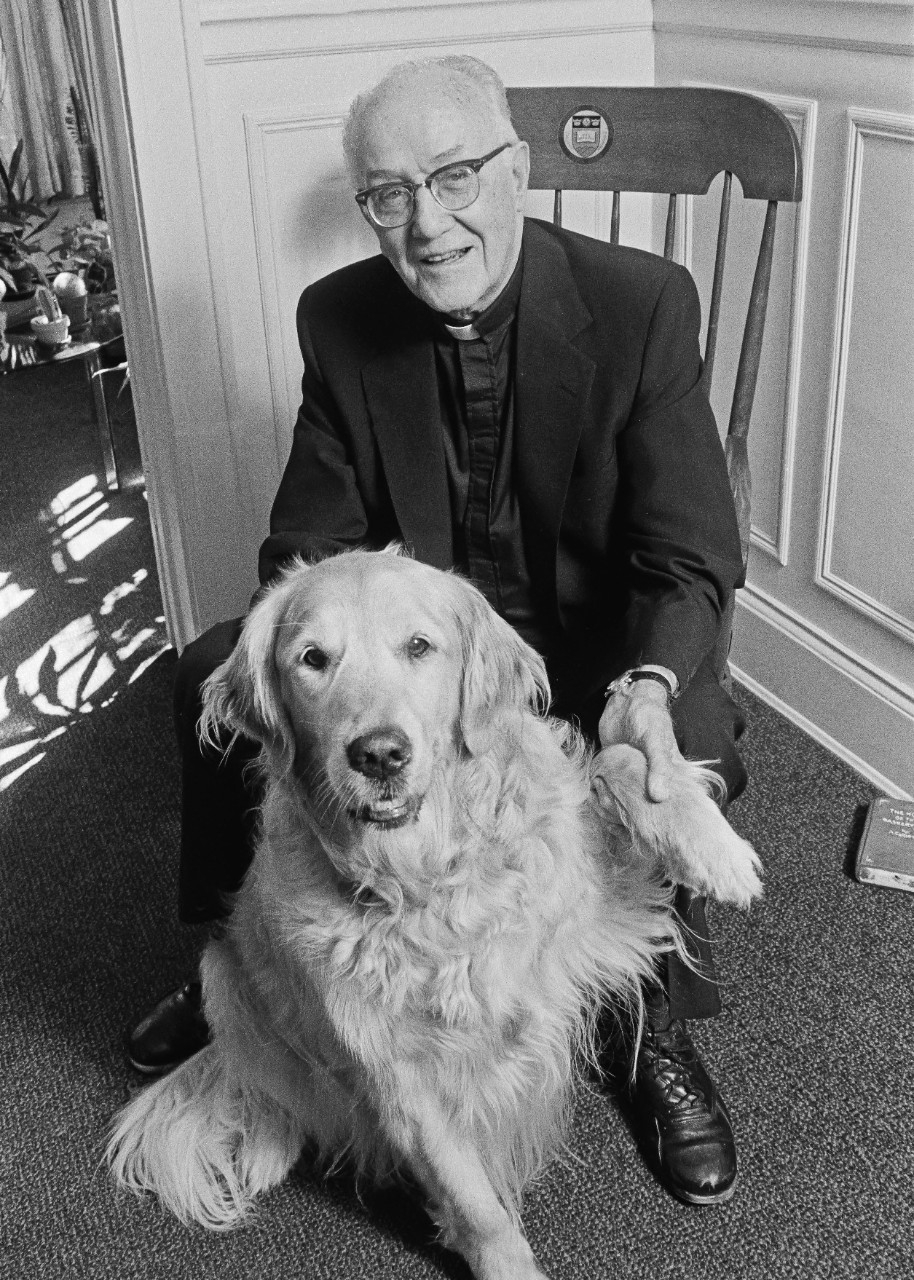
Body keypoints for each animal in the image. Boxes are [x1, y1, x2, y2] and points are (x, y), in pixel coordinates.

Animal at [106, 550, 757, 1280]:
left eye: (419, 647)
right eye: (312, 659)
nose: (379, 754)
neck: (423, 878)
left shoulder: (596, 915)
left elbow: (620, 758)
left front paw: (715, 850)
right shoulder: (396, 1075)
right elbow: (475, 1205)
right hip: (224, 976)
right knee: (268, 1084)